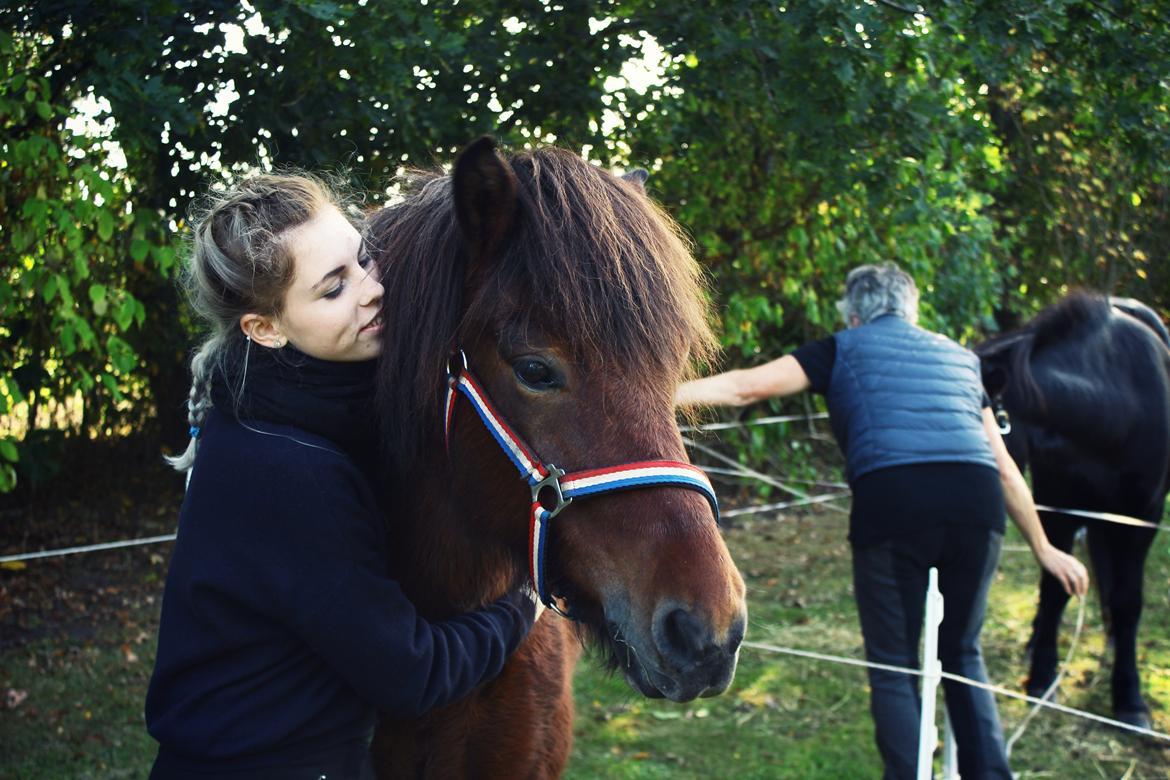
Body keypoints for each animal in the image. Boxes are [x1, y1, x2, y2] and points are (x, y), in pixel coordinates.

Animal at [978, 294, 1170, 734]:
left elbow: (1128, 599)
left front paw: (1130, 700)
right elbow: (1054, 586)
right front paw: (1042, 676)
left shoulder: (1143, 518)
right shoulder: (1060, 505)